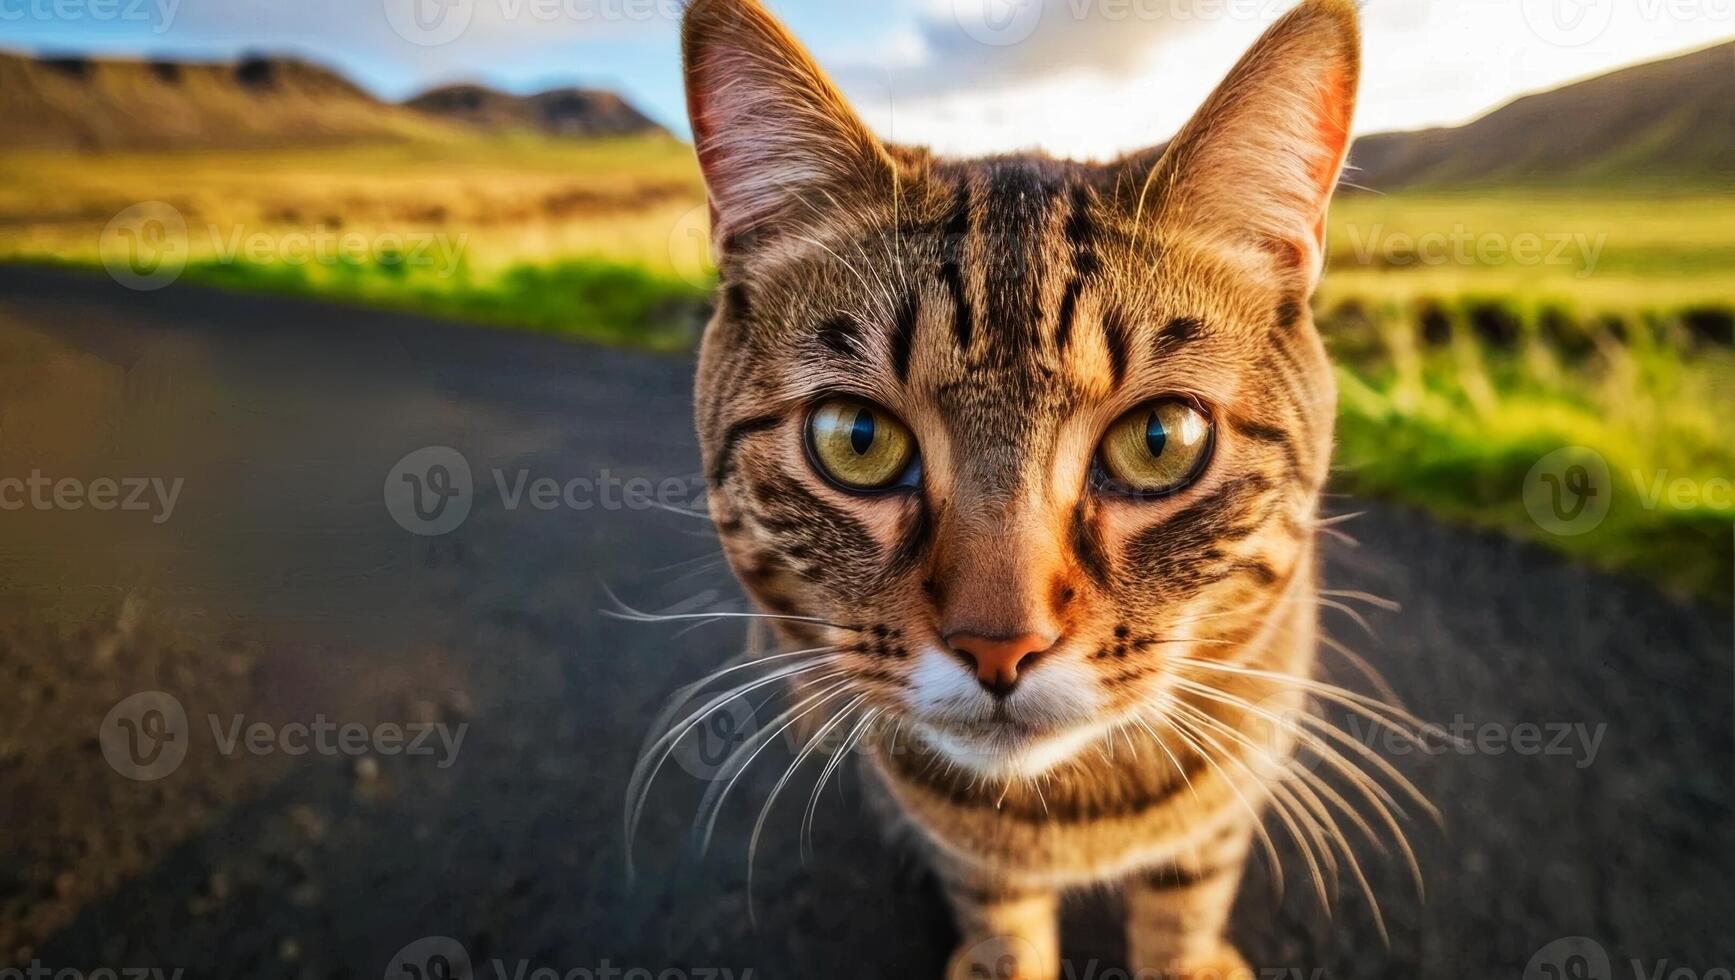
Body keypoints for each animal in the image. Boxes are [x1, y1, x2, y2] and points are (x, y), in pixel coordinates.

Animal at [676, 1, 1367, 971]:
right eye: (856, 439)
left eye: (1160, 440)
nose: (998, 646)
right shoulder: (968, 849)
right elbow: (997, 909)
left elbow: (1190, 890)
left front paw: (1188, 956)